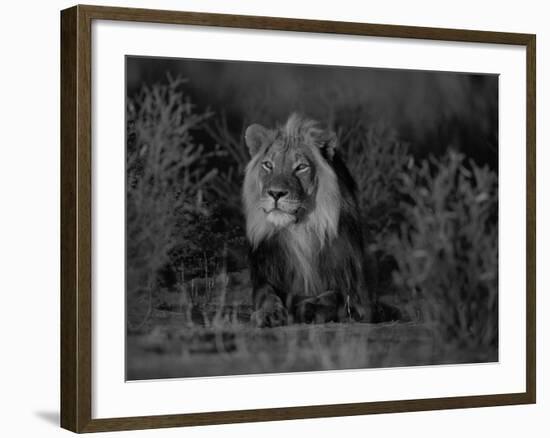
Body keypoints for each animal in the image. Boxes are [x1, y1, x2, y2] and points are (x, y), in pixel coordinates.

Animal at [245, 114, 370, 326]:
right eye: (268, 165)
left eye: (301, 167)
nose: (275, 193)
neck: (300, 230)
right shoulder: (265, 275)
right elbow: (266, 294)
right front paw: (269, 313)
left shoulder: (358, 297)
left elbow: (334, 296)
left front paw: (306, 308)